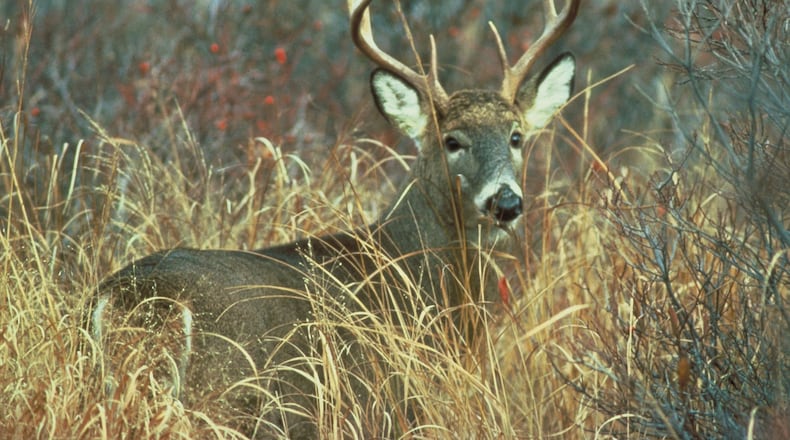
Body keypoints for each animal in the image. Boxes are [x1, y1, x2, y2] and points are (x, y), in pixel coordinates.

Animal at [91, 0, 579, 437]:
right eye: (452, 141)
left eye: (516, 136)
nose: (506, 203)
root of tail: (132, 299)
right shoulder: (389, 405)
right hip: (229, 400)